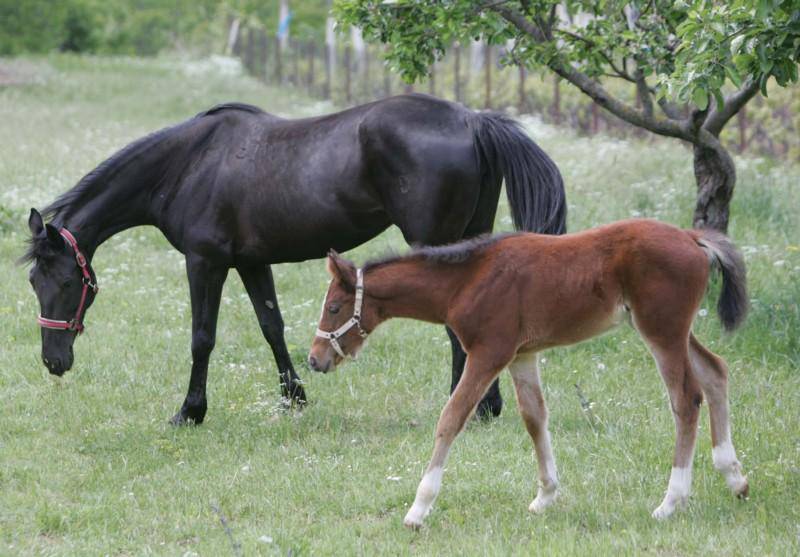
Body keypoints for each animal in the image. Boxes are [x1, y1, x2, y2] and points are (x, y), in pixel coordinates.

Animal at [23, 93, 564, 422]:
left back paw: (467, 406)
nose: (53, 361)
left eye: (67, 283)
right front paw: (295, 398)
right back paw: (484, 405)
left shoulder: (205, 263)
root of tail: (473, 120)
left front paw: (191, 411)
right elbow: (271, 326)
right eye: (33, 283)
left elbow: (202, 338)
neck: (189, 164)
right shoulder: (250, 262)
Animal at [308, 217, 752, 524]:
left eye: (334, 307)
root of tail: (691, 237)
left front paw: (418, 509)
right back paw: (734, 477)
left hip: (661, 329)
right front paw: (546, 496)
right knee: (716, 372)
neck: (468, 280)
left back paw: (671, 501)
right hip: (676, 329)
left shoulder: (488, 353)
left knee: (686, 398)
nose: (314, 359)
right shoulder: (521, 355)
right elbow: (534, 417)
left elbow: (451, 417)